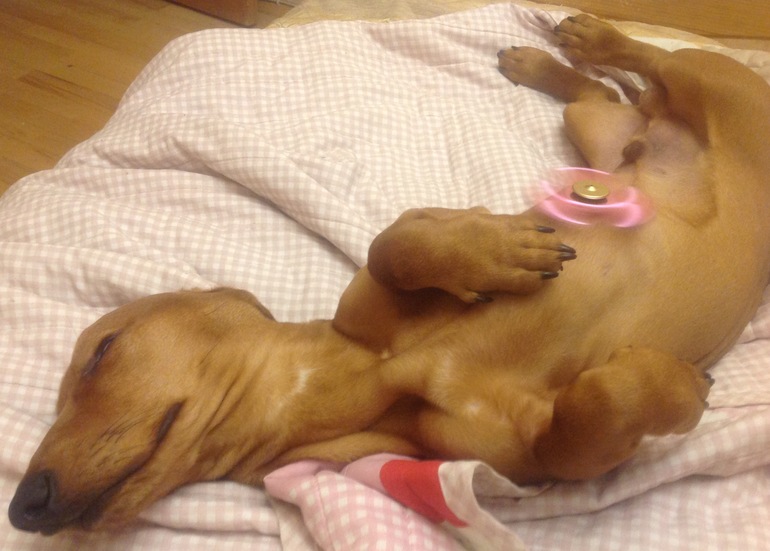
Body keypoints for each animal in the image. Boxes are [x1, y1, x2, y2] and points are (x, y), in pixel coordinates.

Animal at [9, 15, 770, 534]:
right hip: (597, 133)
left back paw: (584, 31)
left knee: (651, 58)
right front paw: (677, 385)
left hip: (714, 83)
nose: (24, 504)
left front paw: (502, 250)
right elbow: (589, 414)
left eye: (102, 352)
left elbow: (392, 242)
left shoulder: (392, 271)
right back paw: (540, 61)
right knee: (604, 93)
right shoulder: (523, 460)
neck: (378, 373)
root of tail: (654, 132)